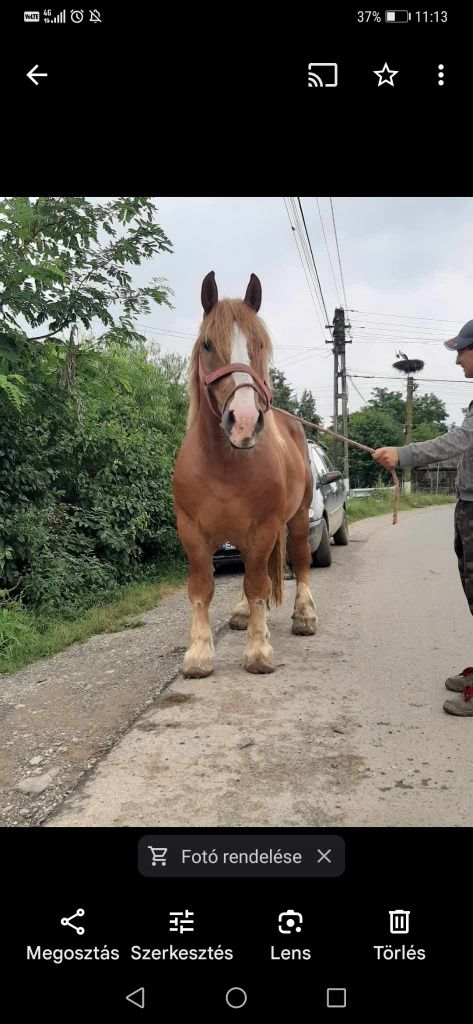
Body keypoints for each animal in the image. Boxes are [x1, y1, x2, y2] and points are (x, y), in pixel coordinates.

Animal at [172, 270, 315, 679]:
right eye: (207, 344)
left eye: (260, 343)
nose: (246, 422)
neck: (224, 464)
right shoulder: (191, 530)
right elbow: (203, 586)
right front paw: (199, 654)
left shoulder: (266, 526)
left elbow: (257, 584)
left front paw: (258, 651)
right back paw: (241, 615)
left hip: (298, 518)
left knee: (300, 559)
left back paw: (304, 616)